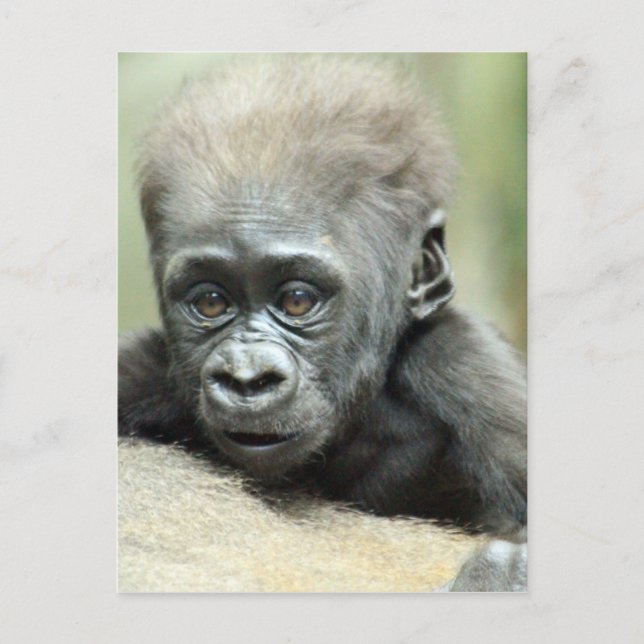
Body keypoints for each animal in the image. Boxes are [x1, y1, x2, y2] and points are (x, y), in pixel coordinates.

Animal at [119, 56, 527, 590]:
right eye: (210, 303)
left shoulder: (464, 366)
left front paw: (498, 577)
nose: (247, 378)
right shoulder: (145, 370)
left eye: (297, 301)